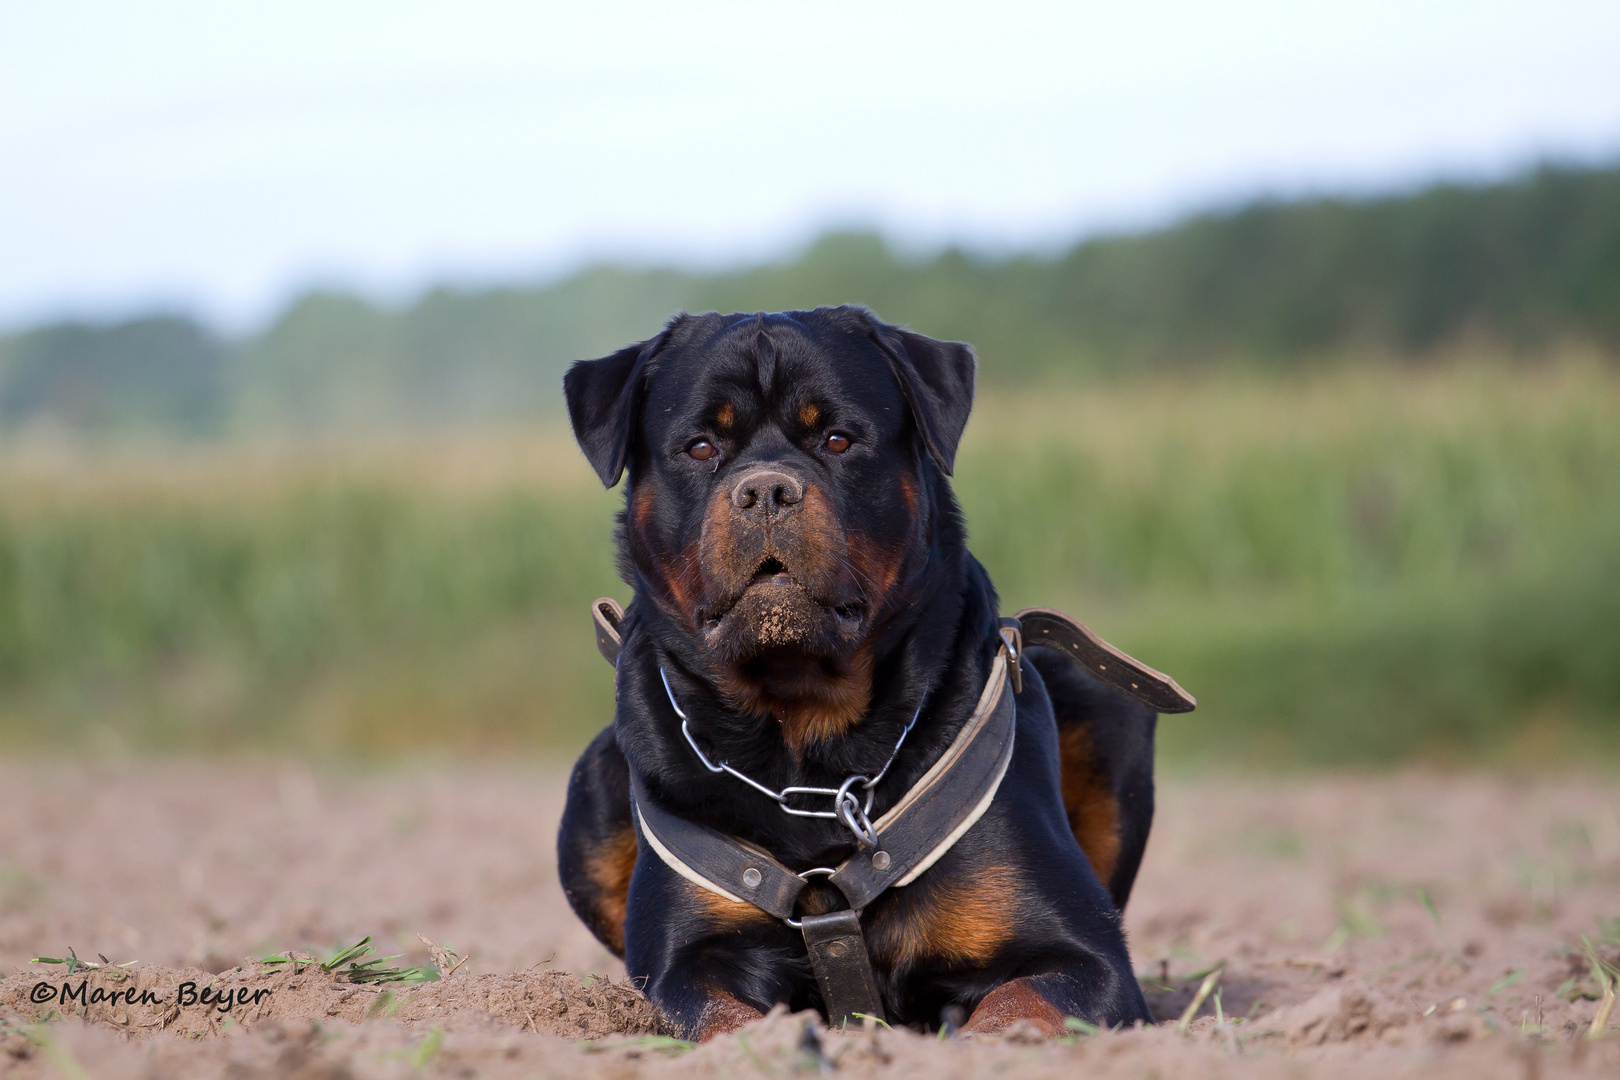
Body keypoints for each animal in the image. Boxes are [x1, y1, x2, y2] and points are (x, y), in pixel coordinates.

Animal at [560, 307, 1192, 1042]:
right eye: (698, 446)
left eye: (838, 439)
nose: (767, 489)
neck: (807, 749)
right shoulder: (681, 967)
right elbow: (725, 1022)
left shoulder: (1087, 962)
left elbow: (1017, 1007)